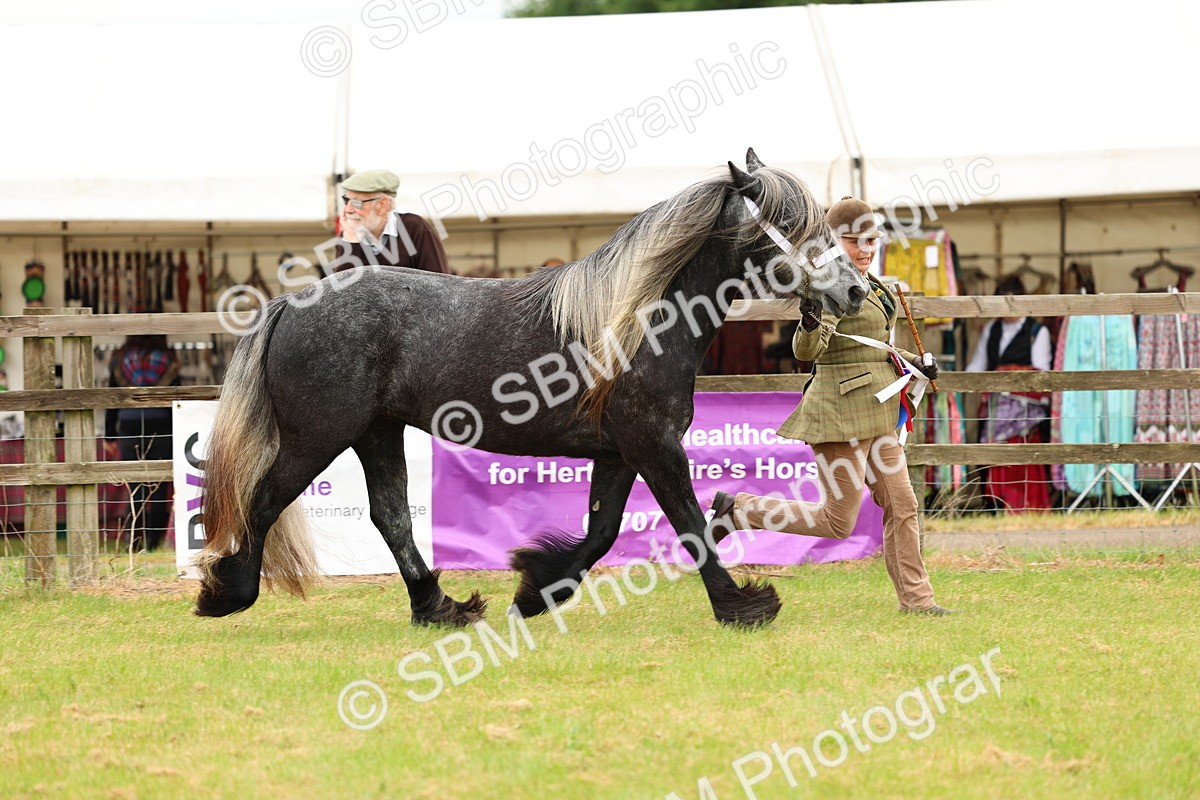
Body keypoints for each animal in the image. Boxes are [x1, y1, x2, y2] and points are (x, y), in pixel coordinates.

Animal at [194, 148, 869, 628]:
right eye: (790, 224)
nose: (854, 290)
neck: (638, 321)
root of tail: (291, 302)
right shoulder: (653, 445)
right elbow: (689, 523)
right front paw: (743, 606)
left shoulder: (619, 452)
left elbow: (601, 533)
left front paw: (535, 589)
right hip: (319, 435)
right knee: (264, 499)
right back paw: (227, 593)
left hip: (375, 432)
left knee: (390, 515)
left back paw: (441, 608)